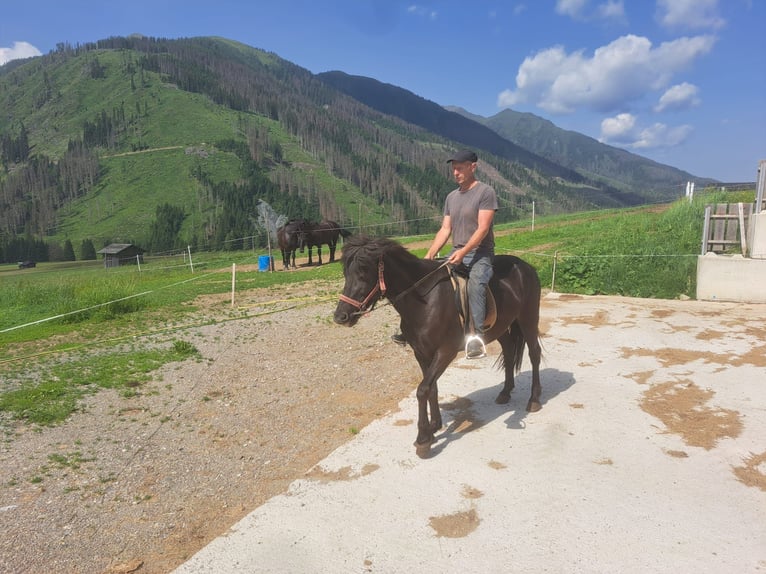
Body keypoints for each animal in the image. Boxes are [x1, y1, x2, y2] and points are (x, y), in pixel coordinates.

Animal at [333, 235, 542, 457]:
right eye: (346, 273)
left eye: (364, 271)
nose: (340, 317)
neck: (425, 301)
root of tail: (526, 266)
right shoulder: (421, 353)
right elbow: (431, 387)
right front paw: (434, 426)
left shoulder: (445, 352)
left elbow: (422, 389)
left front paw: (423, 439)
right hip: (501, 328)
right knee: (509, 352)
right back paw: (505, 392)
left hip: (528, 319)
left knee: (534, 354)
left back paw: (534, 400)